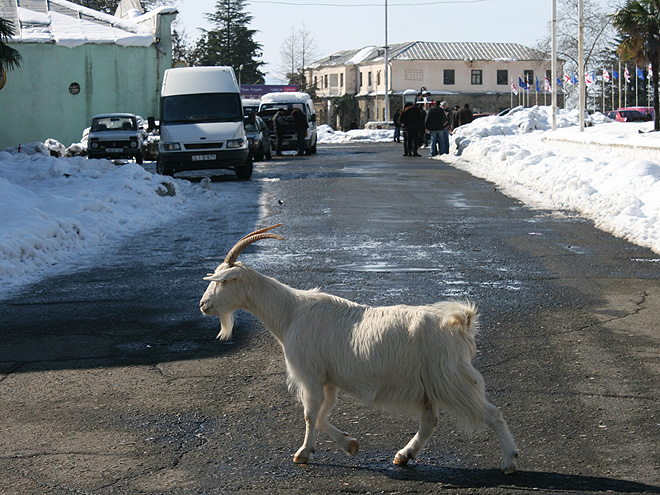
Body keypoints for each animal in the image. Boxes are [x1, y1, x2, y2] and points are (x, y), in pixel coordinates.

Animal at [199, 225, 520, 472]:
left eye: (224, 282)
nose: (203, 305)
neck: (291, 312)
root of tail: (460, 322)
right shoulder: (327, 380)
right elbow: (320, 414)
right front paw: (350, 444)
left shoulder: (310, 375)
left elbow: (310, 414)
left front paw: (302, 454)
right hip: (430, 384)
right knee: (430, 421)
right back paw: (404, 455)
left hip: (451, 378)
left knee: (492, 413)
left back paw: (510, 461)